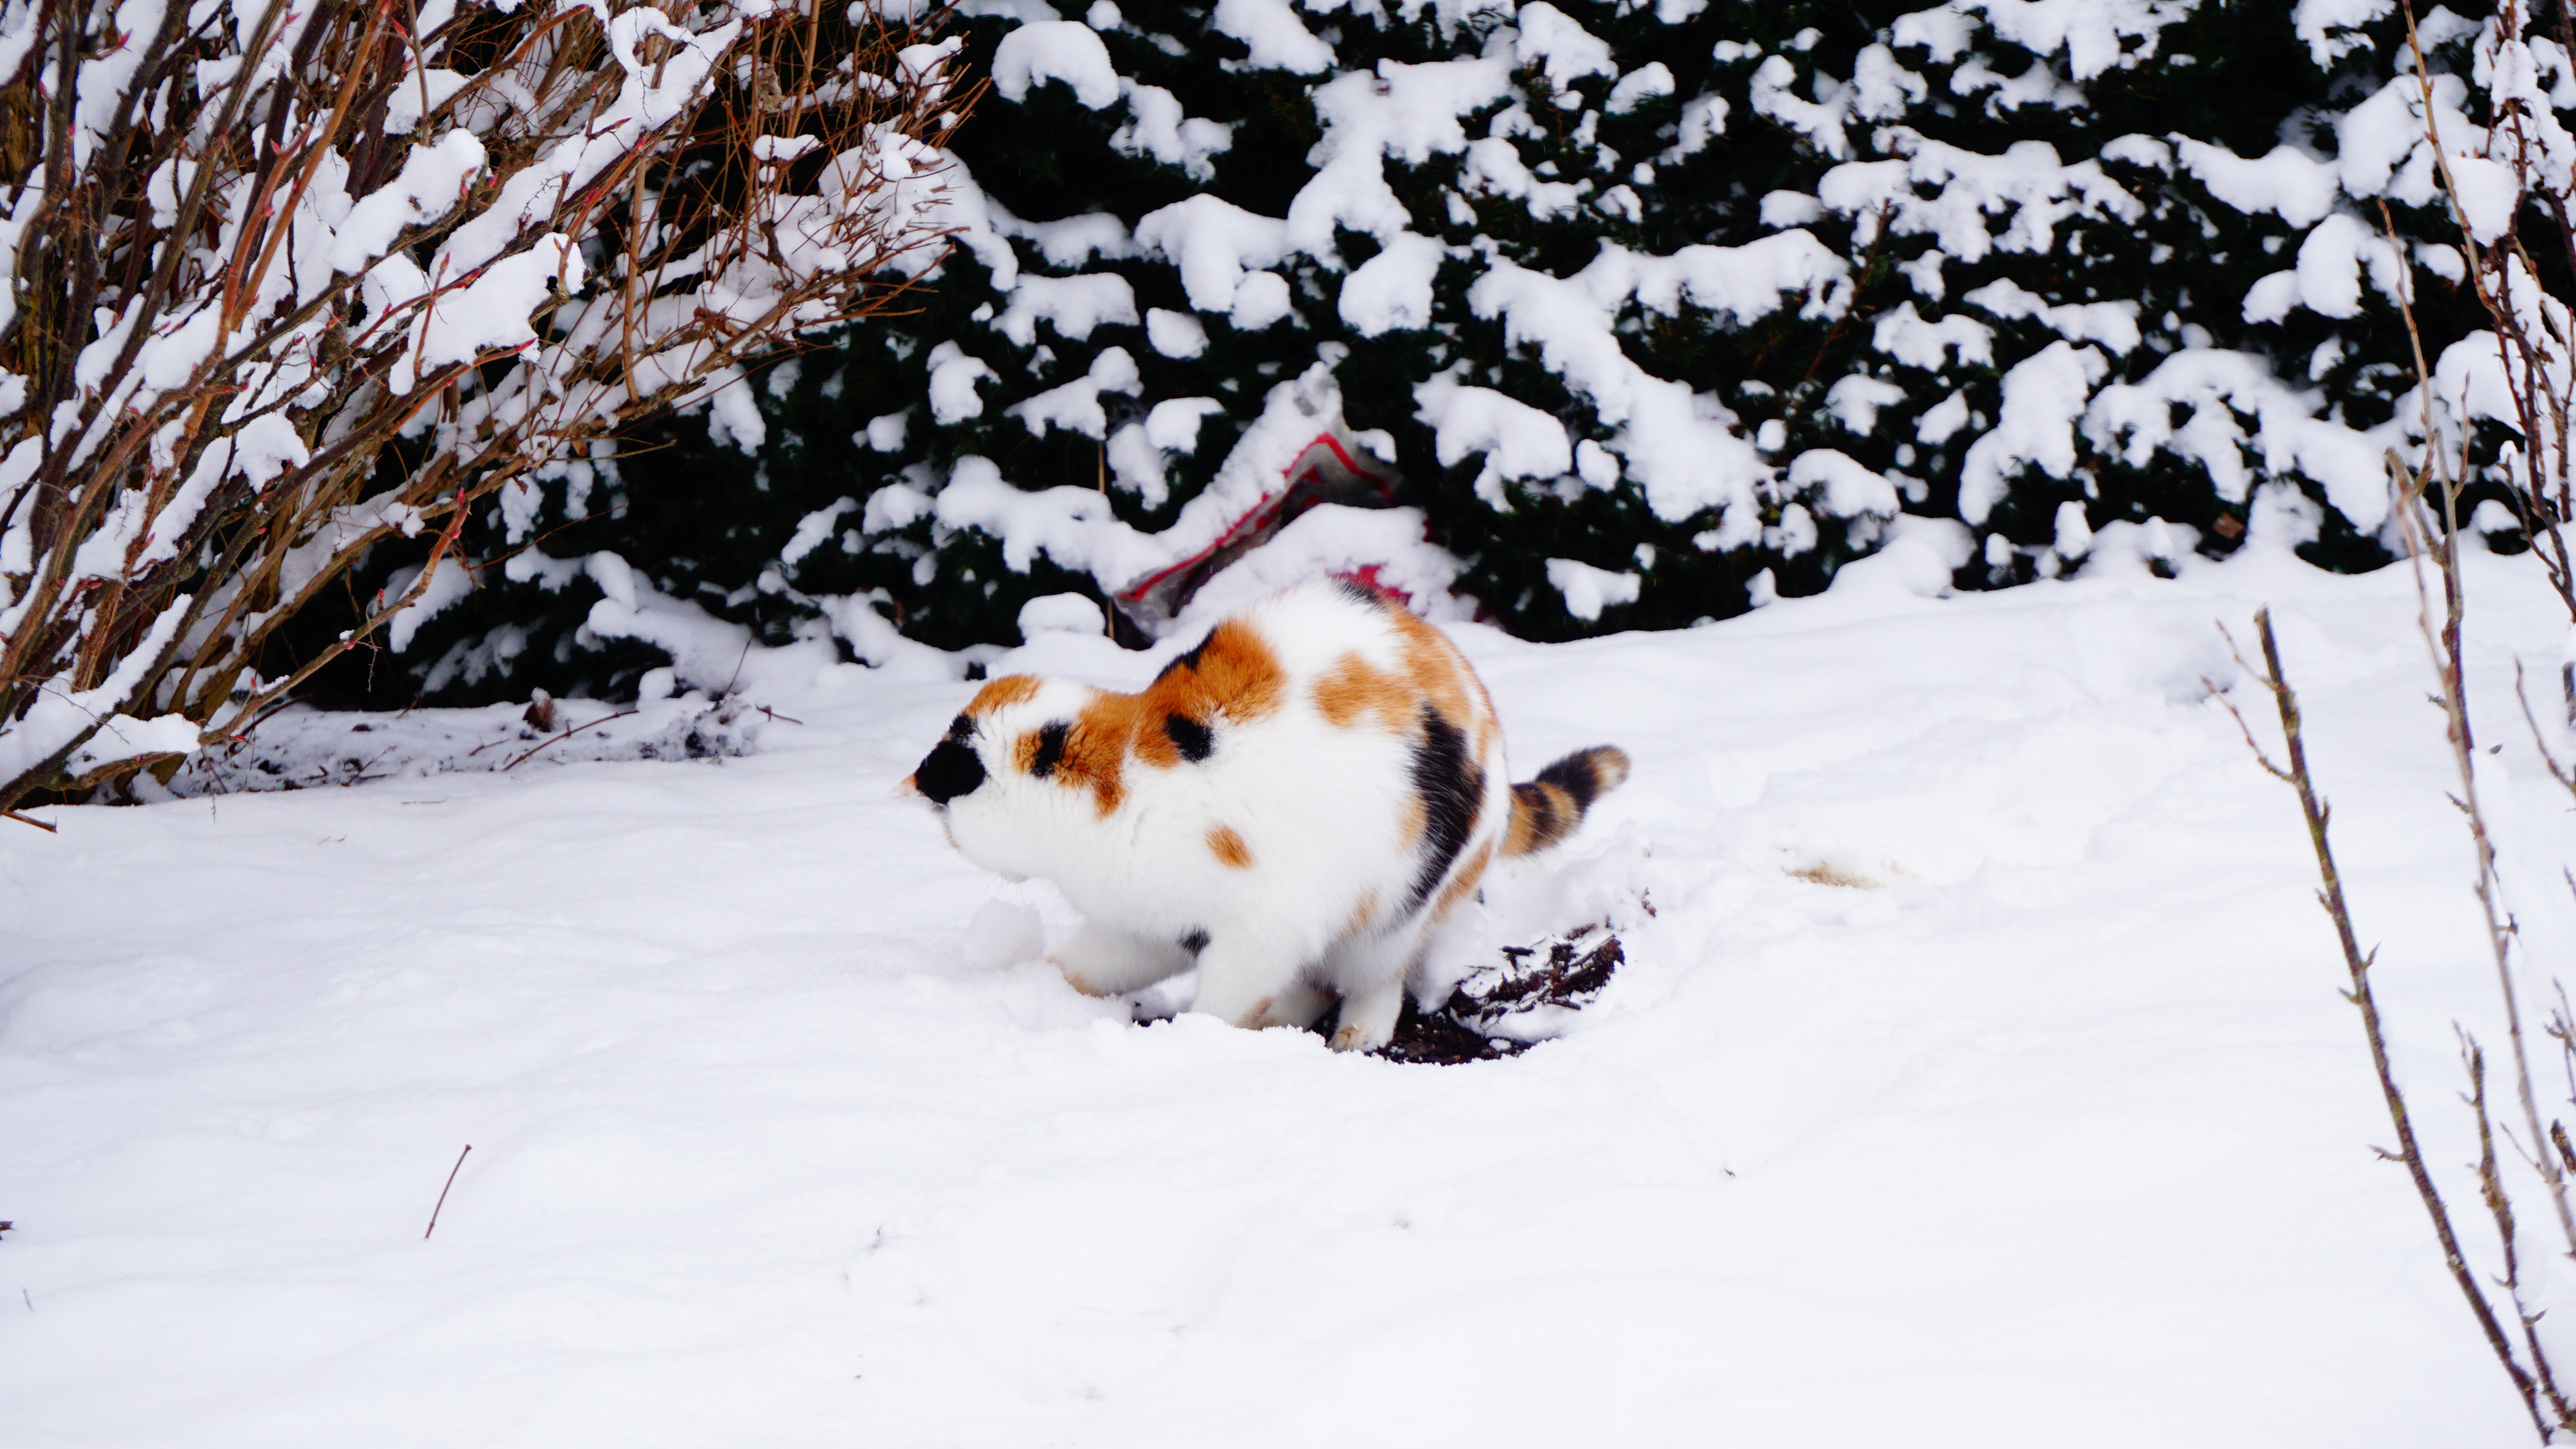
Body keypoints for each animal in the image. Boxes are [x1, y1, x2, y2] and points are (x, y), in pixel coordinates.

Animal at [905, 577, 1629, 1052]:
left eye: (958, 792)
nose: (919, 786)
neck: (1119, 785)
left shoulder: (1262, 928)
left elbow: (1224, 1000)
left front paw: (1196, 1042)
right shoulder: (1145, 926)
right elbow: (1088, 965)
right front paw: (1040, 987)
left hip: (1396, 906)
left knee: (1373, 980)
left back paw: (1349, 1034)